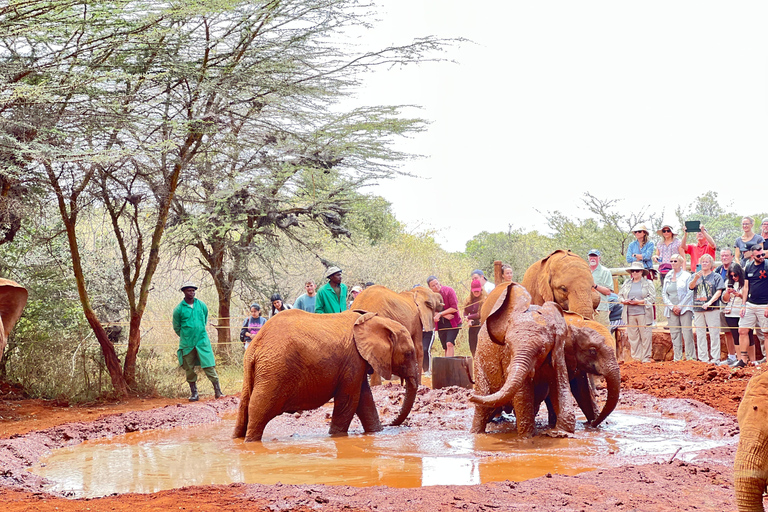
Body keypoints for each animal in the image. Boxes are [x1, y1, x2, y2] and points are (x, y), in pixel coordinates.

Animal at [232, 310, 416, 442]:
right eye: (409, 353)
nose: (391, 423)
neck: (376, 320)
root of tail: (256, 345)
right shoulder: (353, 360)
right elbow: (349, 401)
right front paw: (336, 437)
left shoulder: (357, 363)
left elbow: (364, 400)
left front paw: (376, 432)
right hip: (274, 370)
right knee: (259, 408)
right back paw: (251, 442)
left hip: (256, 371)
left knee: (244, 409)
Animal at [468, 284, 576, 436]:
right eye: (508, 345)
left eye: (542, 350)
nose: (469, 395)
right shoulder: (507, 357)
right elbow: (522, 394)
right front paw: (526, 437)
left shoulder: (558, 349)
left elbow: (561, 385)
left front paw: (560, 433)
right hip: (479, 362)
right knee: (483, 404)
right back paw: (476, 433)